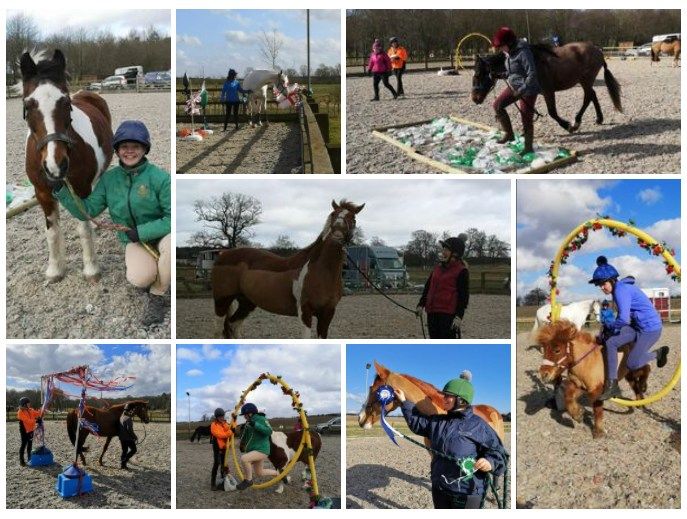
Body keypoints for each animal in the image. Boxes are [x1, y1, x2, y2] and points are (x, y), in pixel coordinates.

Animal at [212, 200, 366, 342]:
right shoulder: (305, 311)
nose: (337, 235)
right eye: (333, 214)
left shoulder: (328, 312)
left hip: (246, 302)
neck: (323, 271)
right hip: (222, 300)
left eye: (353, 218)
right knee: (219, 329)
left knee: (234, 325)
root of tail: (223, 255)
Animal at [472, 42, 624, 134]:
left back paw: (576, 122)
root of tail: (597, 50)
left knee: (588, 97)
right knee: (592, 95)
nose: (474, 98)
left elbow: (552, 112)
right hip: (585, 81)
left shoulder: (548, 91)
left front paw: (567, 126)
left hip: (586, 80)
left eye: (479, 74)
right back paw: (598, 119)